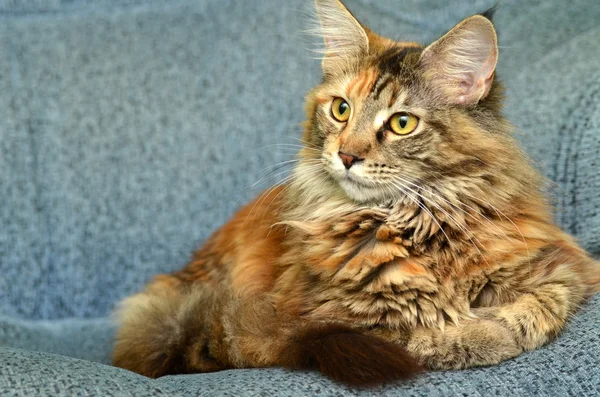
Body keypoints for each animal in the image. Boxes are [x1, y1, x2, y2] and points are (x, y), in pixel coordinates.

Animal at [112, 0, 600, 386]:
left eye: (402, 123)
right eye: (341, 110)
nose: (346, 155)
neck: (414, 223)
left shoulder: (568, 266)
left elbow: (541, 303)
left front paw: (489, 324)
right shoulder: (313, 318)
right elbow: (416, 334)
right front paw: (476, 333)